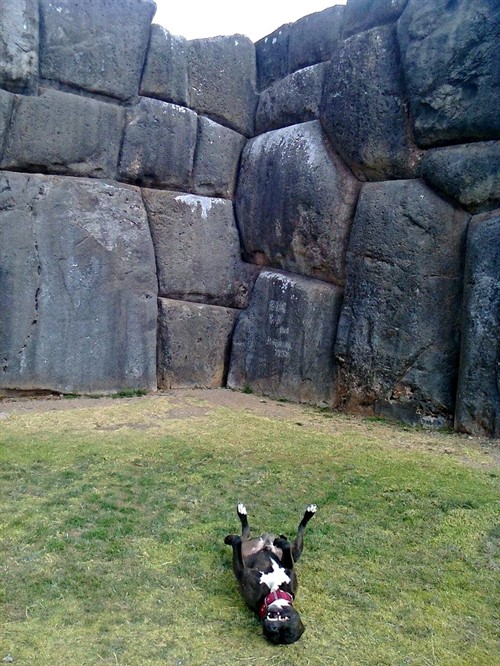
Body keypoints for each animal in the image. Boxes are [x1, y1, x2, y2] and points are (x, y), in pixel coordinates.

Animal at [224, 500, 316, 640]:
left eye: (279, 634)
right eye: (285, 618)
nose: (273, 628)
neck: (275, 592)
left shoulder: (242, 572)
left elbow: (237, 541)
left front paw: (232, 539)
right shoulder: (290, 570)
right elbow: (286, 548)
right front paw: (282, 541)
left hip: (247, 548)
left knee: (243, 535)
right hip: (296, 552)